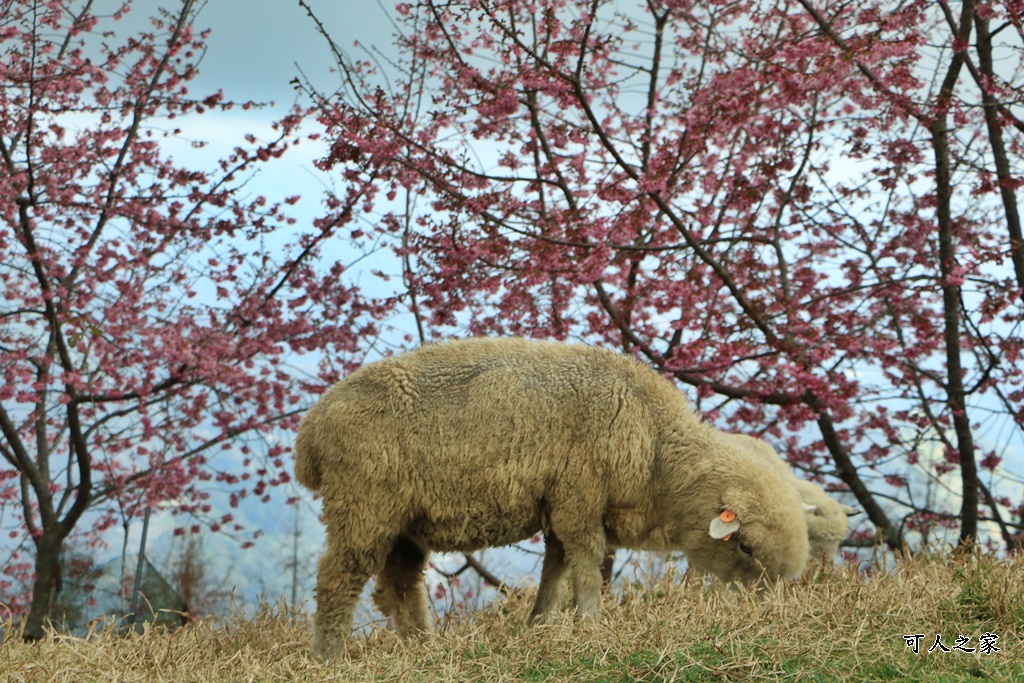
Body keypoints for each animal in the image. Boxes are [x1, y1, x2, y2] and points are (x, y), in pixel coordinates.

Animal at [294, 335, 806, 655]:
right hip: (364, 504)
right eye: (745, 547)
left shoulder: (561, 503)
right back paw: (329, 657)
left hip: (404, 520)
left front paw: (540, 624)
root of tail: (311, 429)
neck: (657, 454)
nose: (764, 617)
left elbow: (555, 569)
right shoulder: (578, 497)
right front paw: (592, 624)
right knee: (337, 577)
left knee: (401, 580)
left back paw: (423, 646)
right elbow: (585, 566)